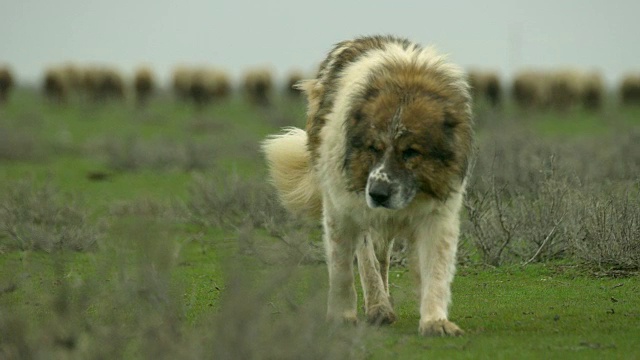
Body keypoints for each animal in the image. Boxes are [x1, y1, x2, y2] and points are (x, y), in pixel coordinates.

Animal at [262, 35, 476, 336]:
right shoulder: (343, 209)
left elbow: (436, 270)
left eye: (411, 152)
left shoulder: (438, 216)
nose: (377, 194)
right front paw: (342, 315)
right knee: (366, 258)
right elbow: (343, 268)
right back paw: (378, 307)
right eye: (374, 148)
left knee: (381, 258)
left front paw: (435, 321)